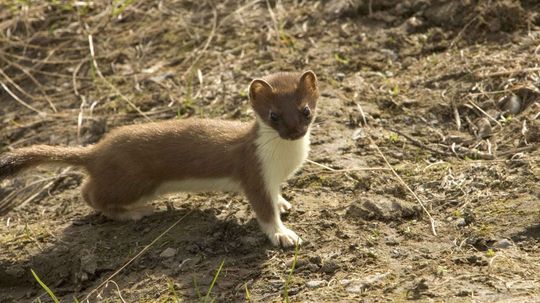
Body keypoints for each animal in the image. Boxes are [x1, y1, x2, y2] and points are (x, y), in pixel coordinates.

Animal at [0, 70, 320, 247]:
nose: (294, 131)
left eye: (305, 110)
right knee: (89, 193)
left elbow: (275, 197)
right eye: (273, 115)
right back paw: (134, 212)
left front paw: (283, 202)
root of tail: (98, 148)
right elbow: (265, 212)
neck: (285, 161)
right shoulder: (253, 172)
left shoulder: (273, 178)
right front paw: (284, 235)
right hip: (134, 182)